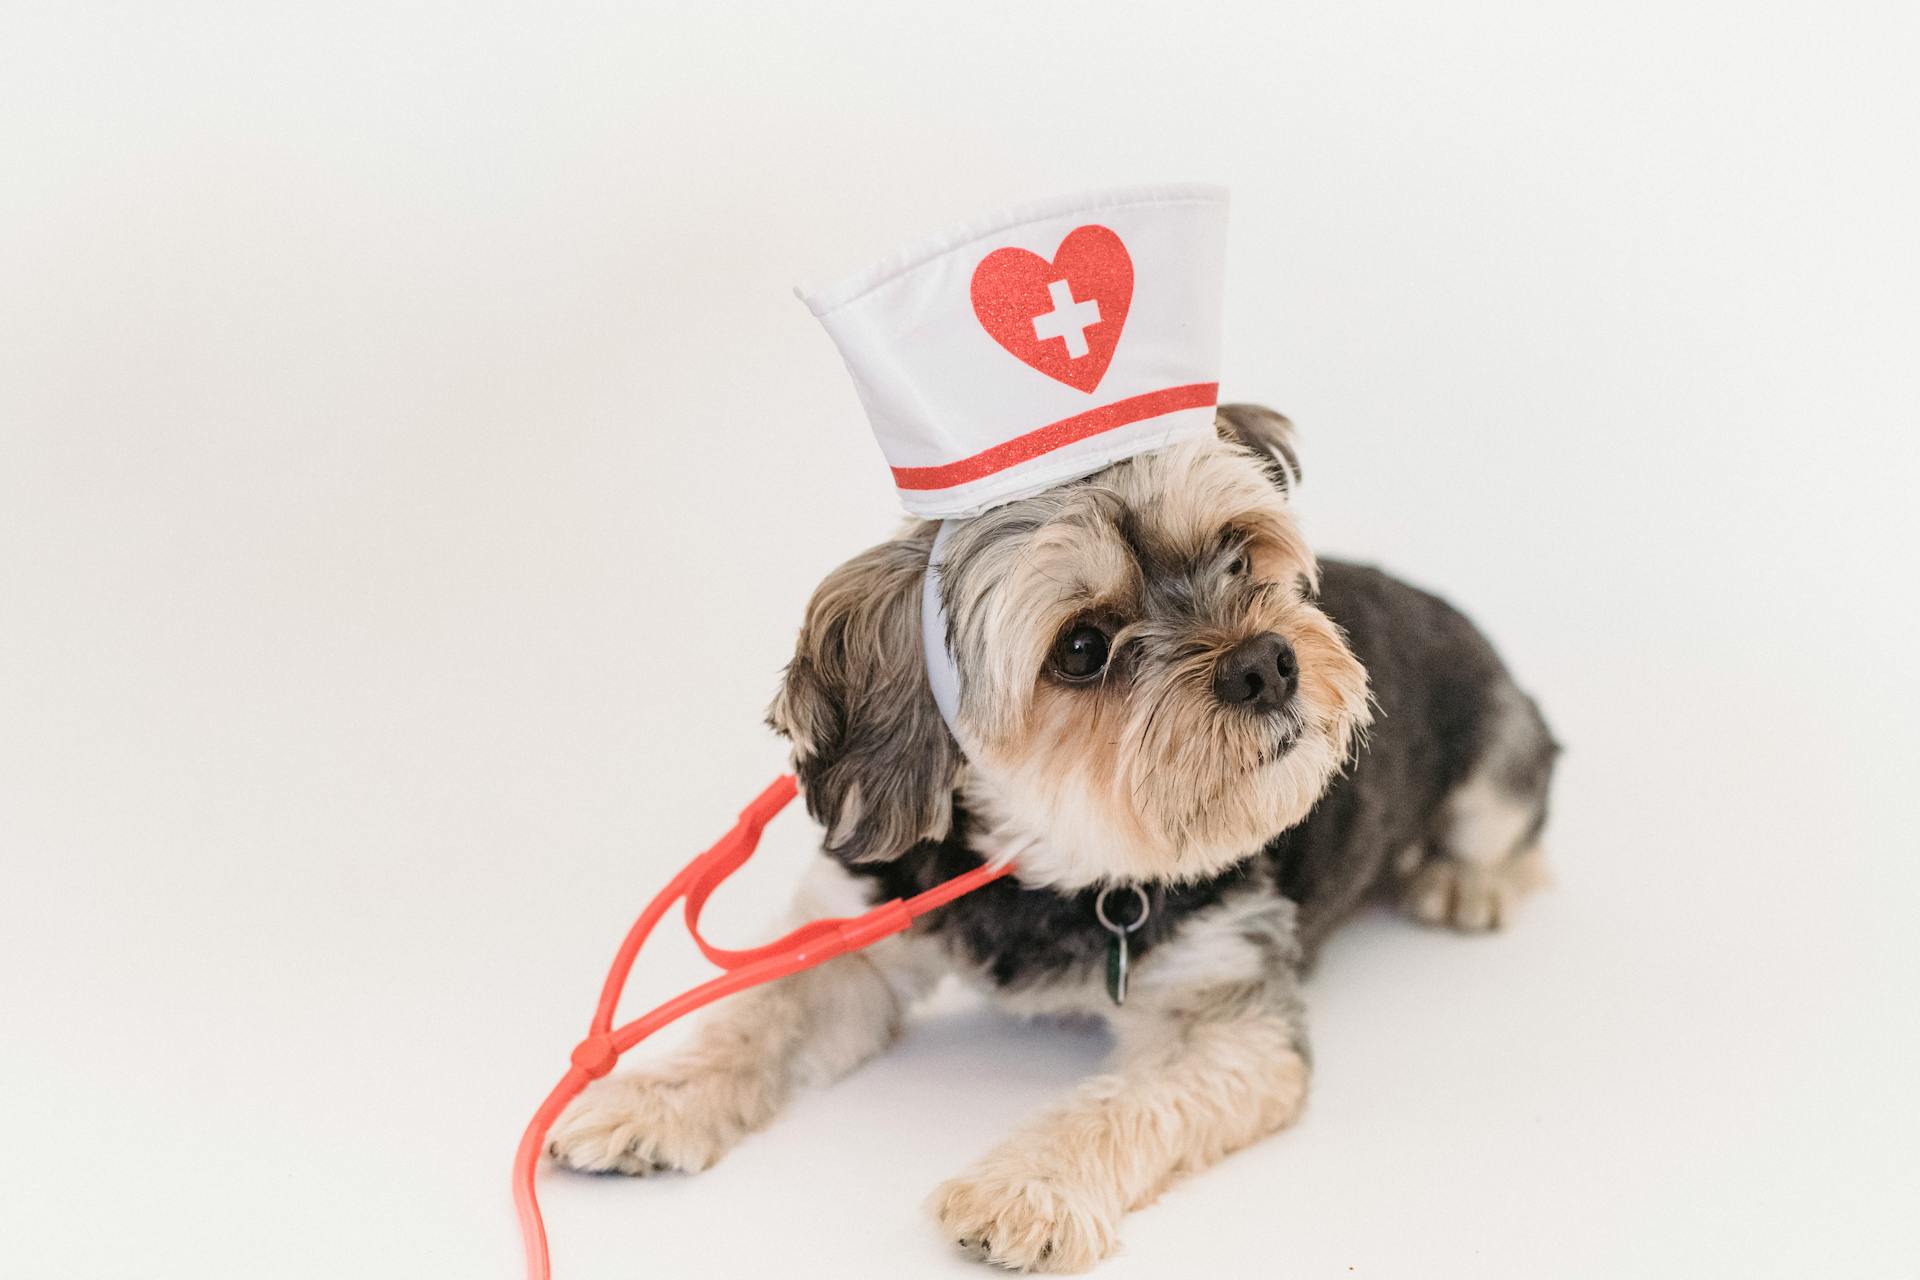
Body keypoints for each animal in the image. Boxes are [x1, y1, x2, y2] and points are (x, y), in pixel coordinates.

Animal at [545, 408, 1559, 1274]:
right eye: (1080, 648)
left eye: (1238, 553)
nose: (1267, 663)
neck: (1059, 865)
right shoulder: (858, 932)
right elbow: (759, 1012)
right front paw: (646, 1097)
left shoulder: (1227, 1014)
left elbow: (1123, 1103)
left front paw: (1027, 1187)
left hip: (1493, 747)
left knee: (1518, 810)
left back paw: (1469, 882)